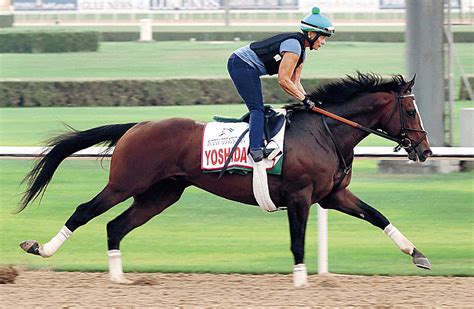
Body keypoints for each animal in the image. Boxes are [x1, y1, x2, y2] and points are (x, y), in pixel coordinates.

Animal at [18, 72, 434, 286]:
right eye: (411, 110)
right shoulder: (299, 197)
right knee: (85, 211)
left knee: (115, 226)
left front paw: (418, 254)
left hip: (160, 194)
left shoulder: (332, 197)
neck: (325, 131)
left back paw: (120, 278)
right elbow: (297, 241)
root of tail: (137, 125)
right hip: (125, 183)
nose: (425, 150)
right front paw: (301, 282)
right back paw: (41, 248)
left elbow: (378, 216)